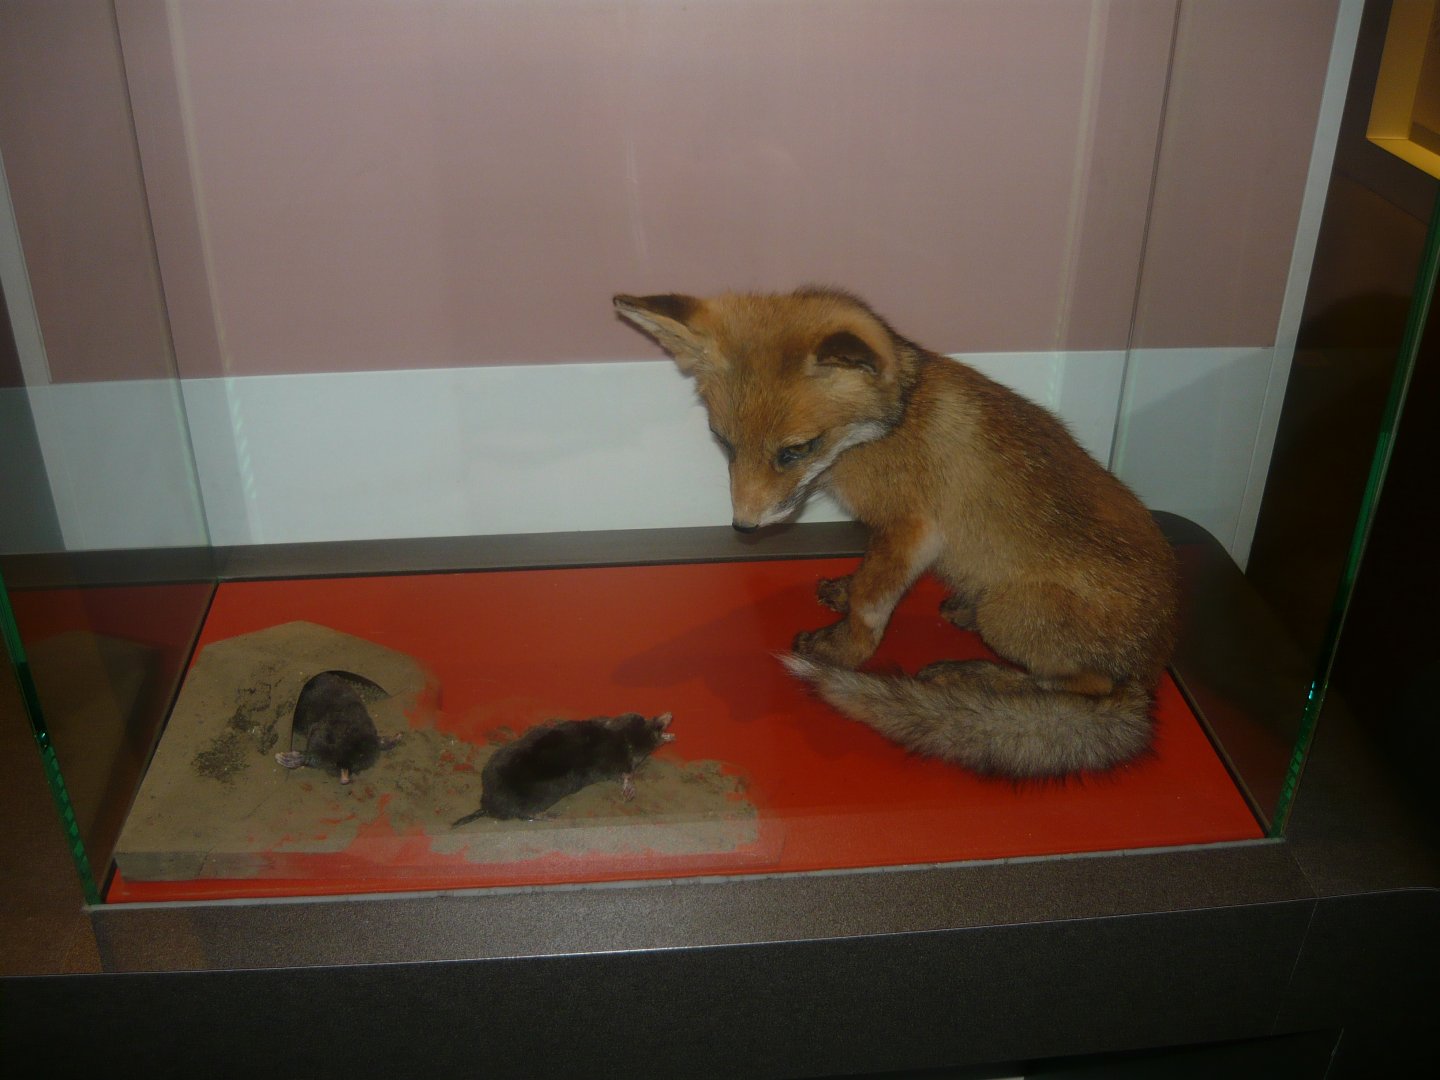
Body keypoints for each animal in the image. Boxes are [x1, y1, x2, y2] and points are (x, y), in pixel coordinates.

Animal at [613, 287, 1179, 779]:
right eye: (723, 442)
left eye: (796, 450)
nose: (743, 526)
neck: (887, 430)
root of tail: (1152, 668)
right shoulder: (884, 533)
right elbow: (865, 574)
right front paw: (842, 593)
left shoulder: (913, 530)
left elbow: (872, 601)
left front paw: (843, 652)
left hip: (1014, 612)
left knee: (1079, 687)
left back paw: (980, 677)